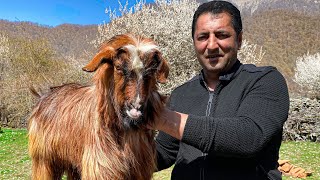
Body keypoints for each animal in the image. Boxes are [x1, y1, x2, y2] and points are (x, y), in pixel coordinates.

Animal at [27, 34, 169, 180]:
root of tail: (43, 95)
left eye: (151, 71)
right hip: (44, 160)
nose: (136, 107)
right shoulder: (101, 168)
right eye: (118, 67)